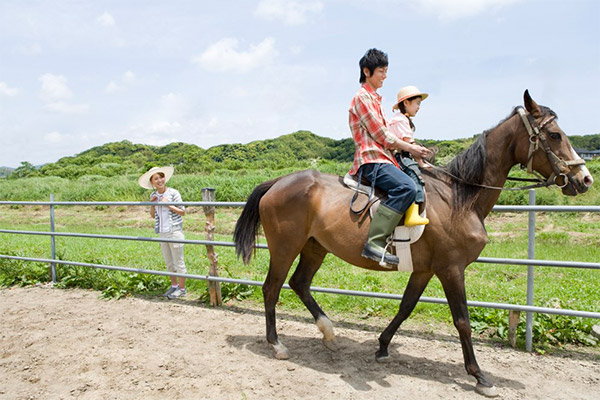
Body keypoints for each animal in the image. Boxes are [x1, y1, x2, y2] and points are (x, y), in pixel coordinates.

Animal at [232, 91, 592, 396]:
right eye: (555, 135)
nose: (584, 179)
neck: (459, 198)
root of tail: (278, 182)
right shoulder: (451, 268)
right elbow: (462, 321)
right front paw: (479, 376)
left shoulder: (425, 270)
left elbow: (405, 307)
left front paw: (382, 347)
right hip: (285, 247)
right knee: (272, 288)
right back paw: (277, 345)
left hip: (314, 247)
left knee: (300, 284)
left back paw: (329, 333)